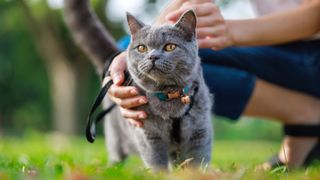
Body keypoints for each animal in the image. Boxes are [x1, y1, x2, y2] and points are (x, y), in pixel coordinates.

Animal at [104, 10, 212, 172]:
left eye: (170, 47)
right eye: (142, 48)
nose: (153, 56)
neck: (169, 95)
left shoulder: (200, 131)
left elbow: (197, 160)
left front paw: (196, 174)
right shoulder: (148, 135)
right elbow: (156, 161)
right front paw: (160, 175)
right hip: (115, 138)